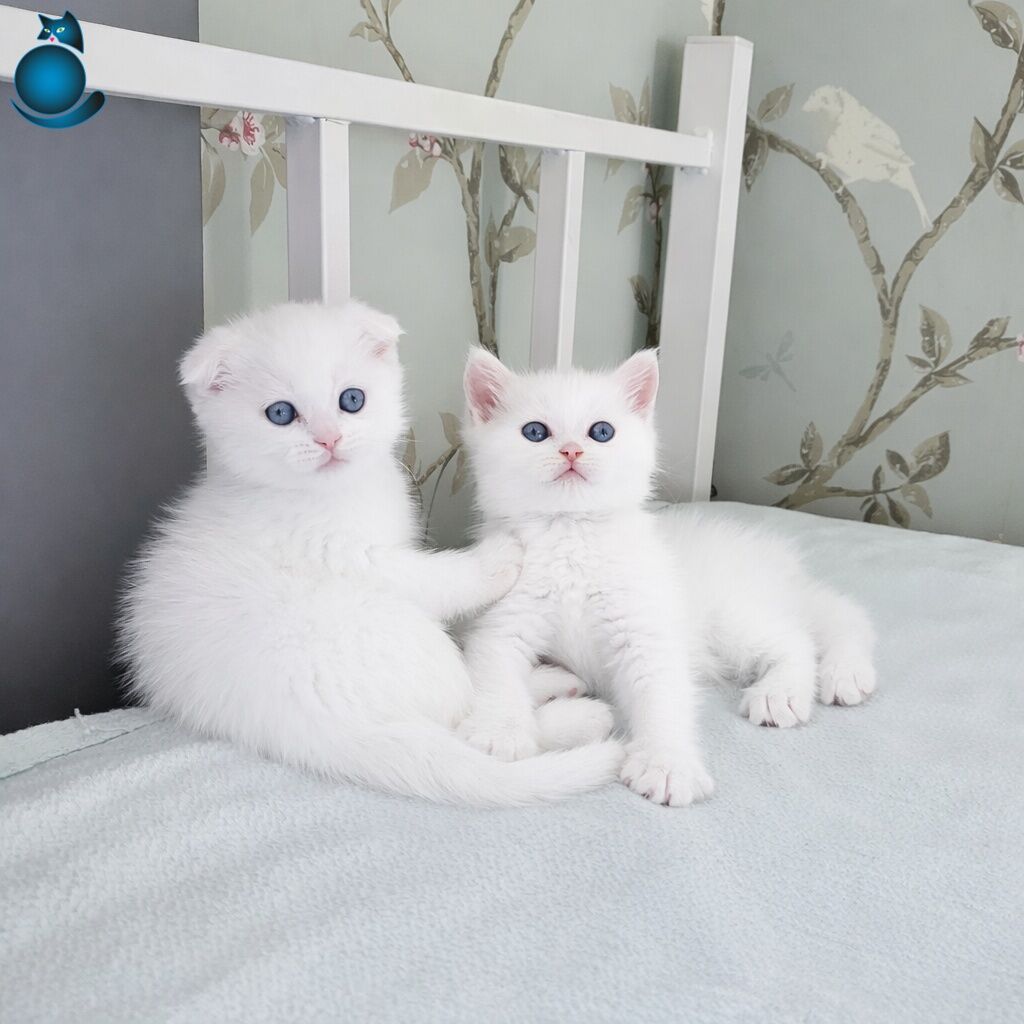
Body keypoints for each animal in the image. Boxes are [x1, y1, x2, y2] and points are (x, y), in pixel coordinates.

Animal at [117, 302, 622, 806]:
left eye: (352, 400)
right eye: (280, 413)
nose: (328, 439)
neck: (334, 492)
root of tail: (302, 730)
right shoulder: (348, 558)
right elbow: (434, 579)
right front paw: (498, 558)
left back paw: (554, 684)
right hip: (386, 630)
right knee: (463, 720)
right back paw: (579, 715)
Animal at [457, 348, 877, 807]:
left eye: (601, 431)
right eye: (534, 432)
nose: (571, 452)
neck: (572, 534)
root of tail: (769, 558)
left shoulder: (647, 627)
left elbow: (662, 694)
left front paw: (668, 764)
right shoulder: (503, 616)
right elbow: (495, 664)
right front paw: (500, 731)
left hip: (732, 615)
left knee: (801, 638)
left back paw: (782, 691)